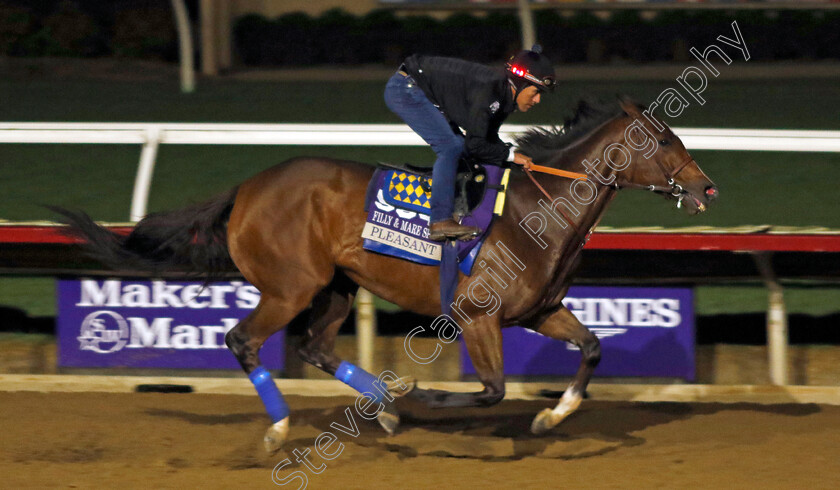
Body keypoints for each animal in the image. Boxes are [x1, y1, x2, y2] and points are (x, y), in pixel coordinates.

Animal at [57, 97, 716, 454]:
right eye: (662, 139)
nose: (707, 187)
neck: (540, 210)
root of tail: (247, 187)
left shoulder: (540, 310)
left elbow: (593, 348)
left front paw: (550, 415)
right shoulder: (478, 316)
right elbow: (492, 389)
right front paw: (421, 394)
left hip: (336, 286)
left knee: (316, 347)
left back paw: (383, 408)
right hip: (290, 285)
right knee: (244, 340)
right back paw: (284, 427)